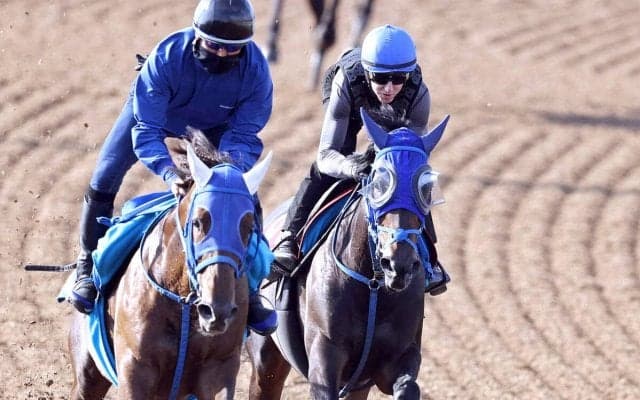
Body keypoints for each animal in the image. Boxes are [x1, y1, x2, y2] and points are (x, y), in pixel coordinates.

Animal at [67, 132, 272, 399]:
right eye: (198, 222)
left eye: (248, 228)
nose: (217, 311)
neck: (181, 299)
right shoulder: (134, 367)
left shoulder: (220, 367)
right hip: (87, 374)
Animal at [246, 108, 449, 399]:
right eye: (379, 183)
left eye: (426, 188)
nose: (397, 264)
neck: (372, 284)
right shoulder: (324, 354)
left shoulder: (396, 359)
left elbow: (407, 386)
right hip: (266, 357)